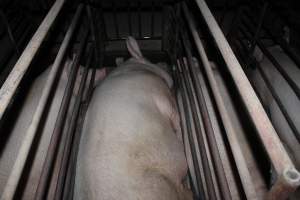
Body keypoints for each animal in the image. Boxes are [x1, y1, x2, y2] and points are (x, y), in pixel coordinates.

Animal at [74, 36, 192, 200]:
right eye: (151, 60)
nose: (166, 66)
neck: (135, 68)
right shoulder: (162, 97)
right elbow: (175, 117)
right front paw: (180, 134)